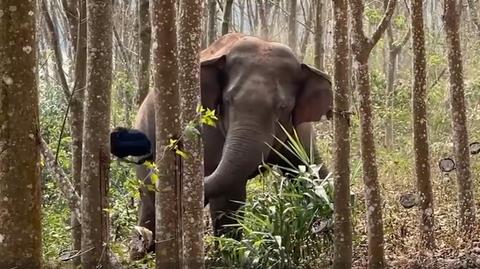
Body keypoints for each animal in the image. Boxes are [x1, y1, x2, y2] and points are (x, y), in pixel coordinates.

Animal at [129, 32, 332, 254]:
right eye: (227, 100)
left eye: (283, 106)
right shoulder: (205, 128)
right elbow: (228, 198)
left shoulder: (298, 130)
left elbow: (310, 171)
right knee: (150, 204)